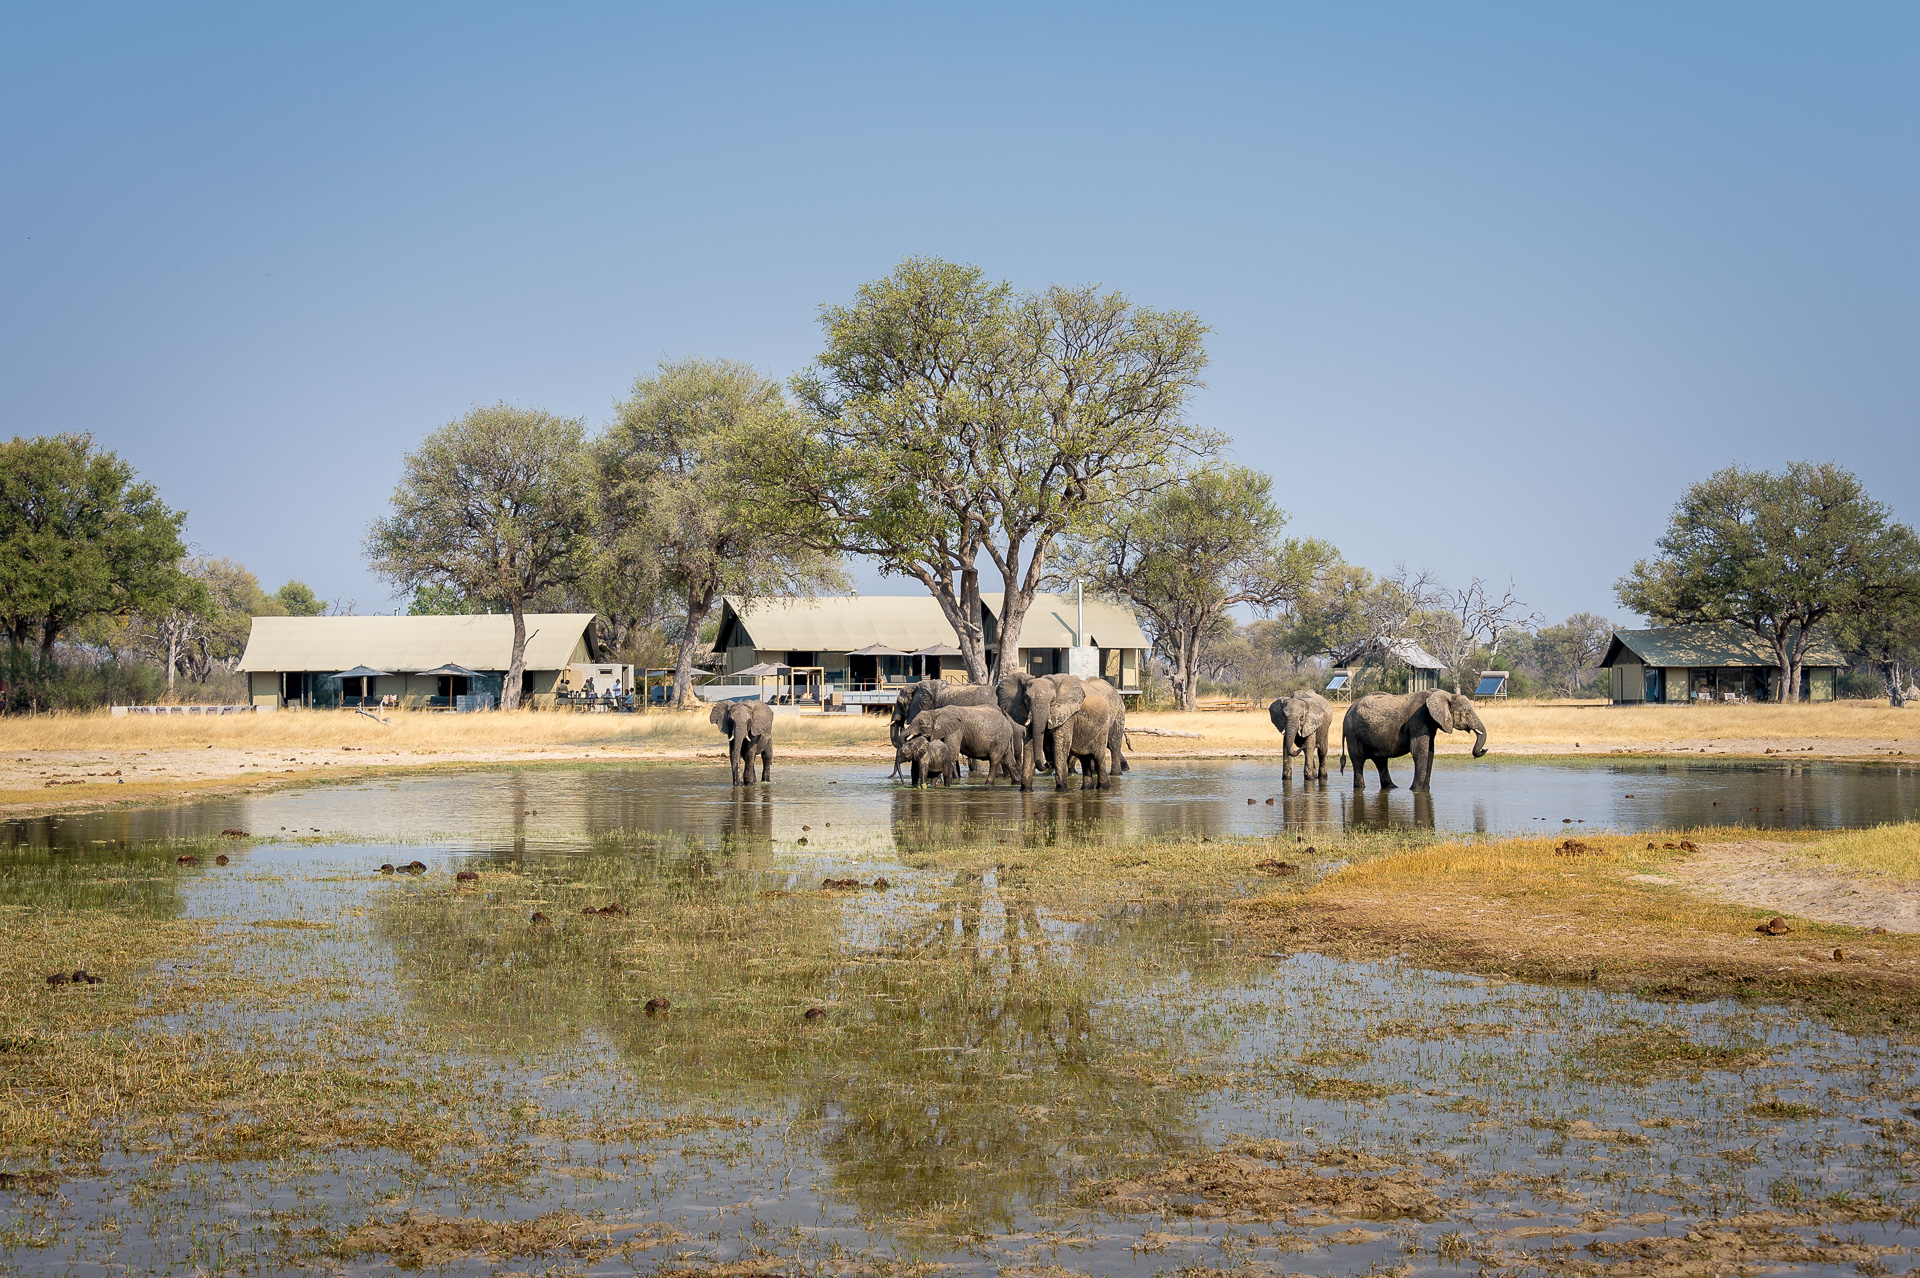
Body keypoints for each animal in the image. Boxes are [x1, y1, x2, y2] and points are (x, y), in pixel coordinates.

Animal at [1339, 689, 1487, 791]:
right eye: (1467, 712)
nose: (1484, 749)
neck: (1443, 694)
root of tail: (1347, 711)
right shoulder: (1418, 720)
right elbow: (1419, 752)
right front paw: (1415, 790)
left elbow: (1430, 753)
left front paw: (1425, 789)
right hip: (1353, 733)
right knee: (1358, 761)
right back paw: (1361, 788)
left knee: (1381, 761)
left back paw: (1392, 787)